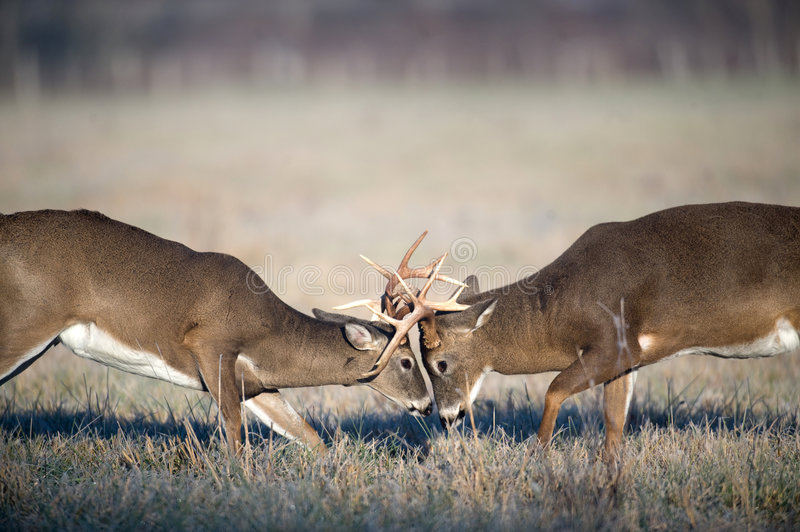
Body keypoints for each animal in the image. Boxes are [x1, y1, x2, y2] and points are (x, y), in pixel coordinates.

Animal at [0, 209, 432, 454]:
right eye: (407, 361)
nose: (428, 405)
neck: (269, 334)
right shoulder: (210, 345)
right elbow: (235, 439)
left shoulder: (256, 383)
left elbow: (310, 437)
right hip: (27, 321)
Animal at [360, 202, 800, 460]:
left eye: (440, 362)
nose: (447, 417)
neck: (558, 311)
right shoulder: (628, 356)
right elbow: (614, 423)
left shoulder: (614, 343)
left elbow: (554, 390)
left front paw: (537, 458)